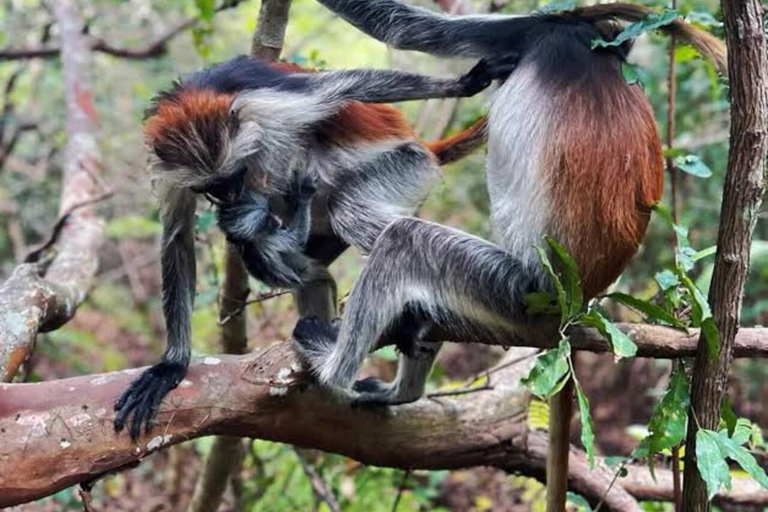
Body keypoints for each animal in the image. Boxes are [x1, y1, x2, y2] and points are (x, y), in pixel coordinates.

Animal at [113, 54, 512, 439]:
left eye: (233, 177)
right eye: (212, 188)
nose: (231, 198)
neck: (196, 97)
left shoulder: (262, 106)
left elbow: (341, 88)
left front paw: (465, 83)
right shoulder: (168, 165)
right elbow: (178, 238)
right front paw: (172, 365)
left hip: (402, 165)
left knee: (365, 222)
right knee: (309, 268)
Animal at [291, 2, 728, 405]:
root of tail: (571, 303)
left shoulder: (536, 30)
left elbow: (404, 29)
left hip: (512, 290)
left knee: (404, 240)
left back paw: (337, 369)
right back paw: (405, 382)